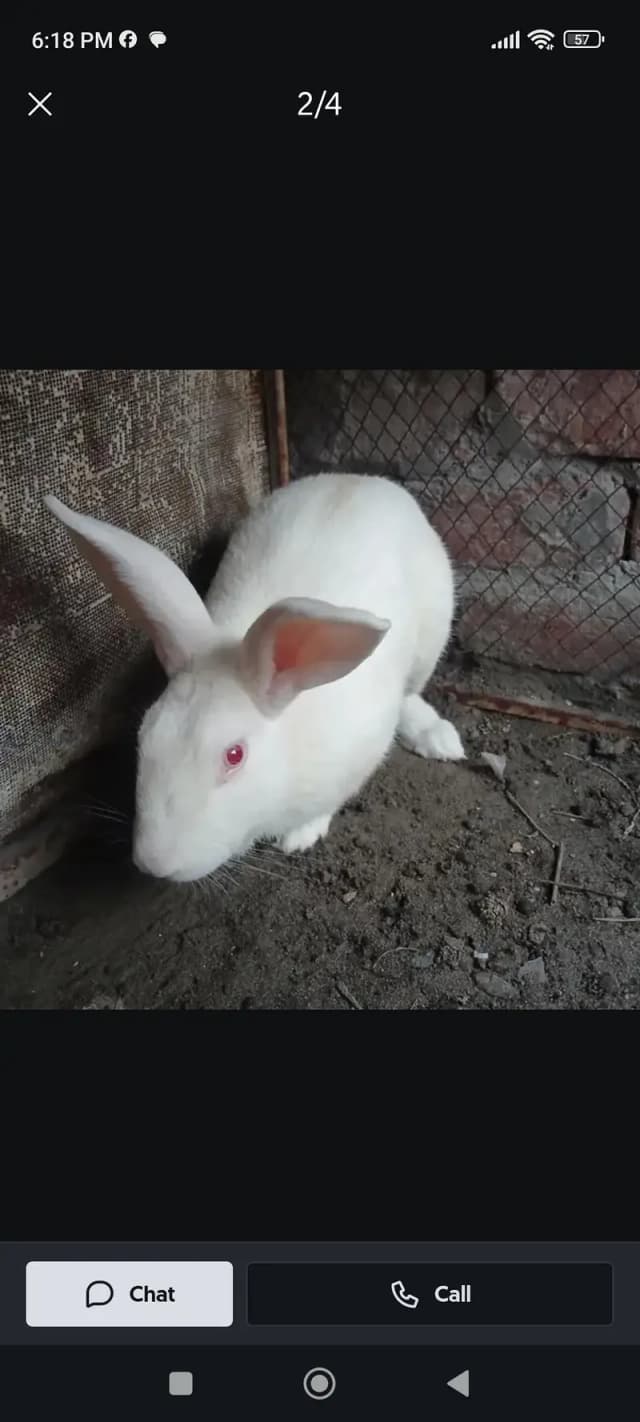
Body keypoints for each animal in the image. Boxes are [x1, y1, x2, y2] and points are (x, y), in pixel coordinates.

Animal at [45, 473, 464, 883]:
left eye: (234, 755)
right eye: (145, 733)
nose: (156, 865)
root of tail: (364, 479)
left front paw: (300, 836)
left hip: (431, 636)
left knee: (412, 693)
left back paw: (438, 738)